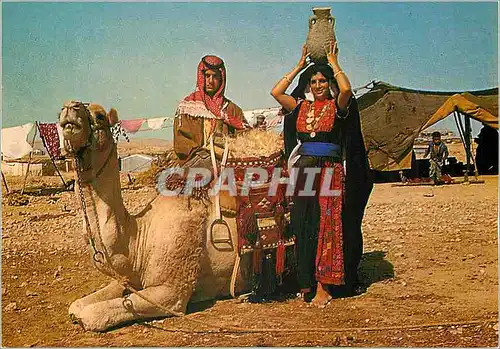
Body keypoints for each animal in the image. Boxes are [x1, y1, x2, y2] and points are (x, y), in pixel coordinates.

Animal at [60, 100, 254, 328]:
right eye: (61, 110)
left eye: (99, 115)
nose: (69, 107)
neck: (139, 239)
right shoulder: (129, 279)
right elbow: (77, 305)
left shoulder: (171, 292)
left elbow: (91, 314)